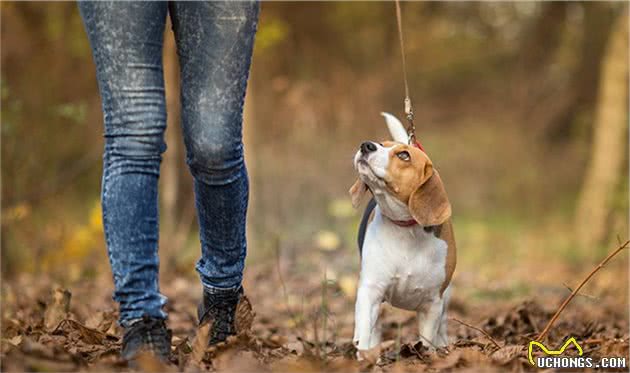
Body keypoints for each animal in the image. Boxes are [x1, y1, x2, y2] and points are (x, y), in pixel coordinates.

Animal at [350, 112, 460, 350]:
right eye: (381, 144)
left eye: (403, 155)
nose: (366, 145)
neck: (406, 230)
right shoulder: (371, 290)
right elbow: (365, 330)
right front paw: (364, 354)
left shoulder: (432, 303)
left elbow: (427, 340)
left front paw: (428, 353)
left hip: (446, 297)